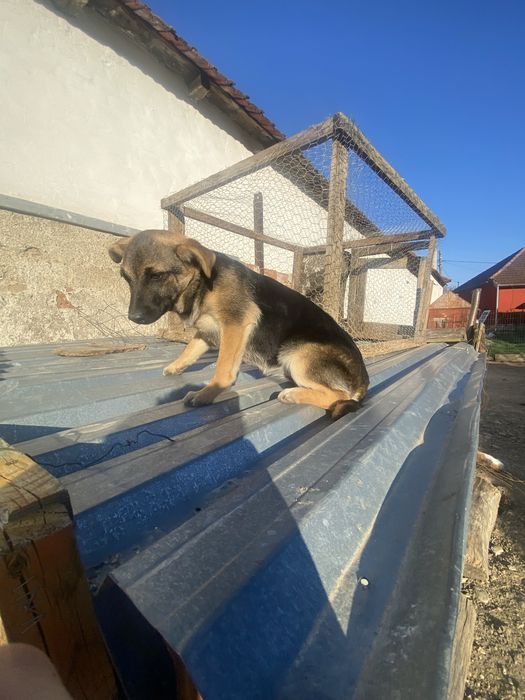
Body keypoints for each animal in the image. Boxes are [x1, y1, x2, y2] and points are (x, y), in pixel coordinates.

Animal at [109, 229, 369, 419]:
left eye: (157, 275)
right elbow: (190, 349)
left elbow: (223, 368)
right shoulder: (206, 331)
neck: (202, 283)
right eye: (126, 278)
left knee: (338, 395)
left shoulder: (235, 324)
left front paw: (208, 393)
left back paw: (293, 394)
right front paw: (176, 366)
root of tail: (364, 381)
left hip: (298, 355)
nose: (134, 317)